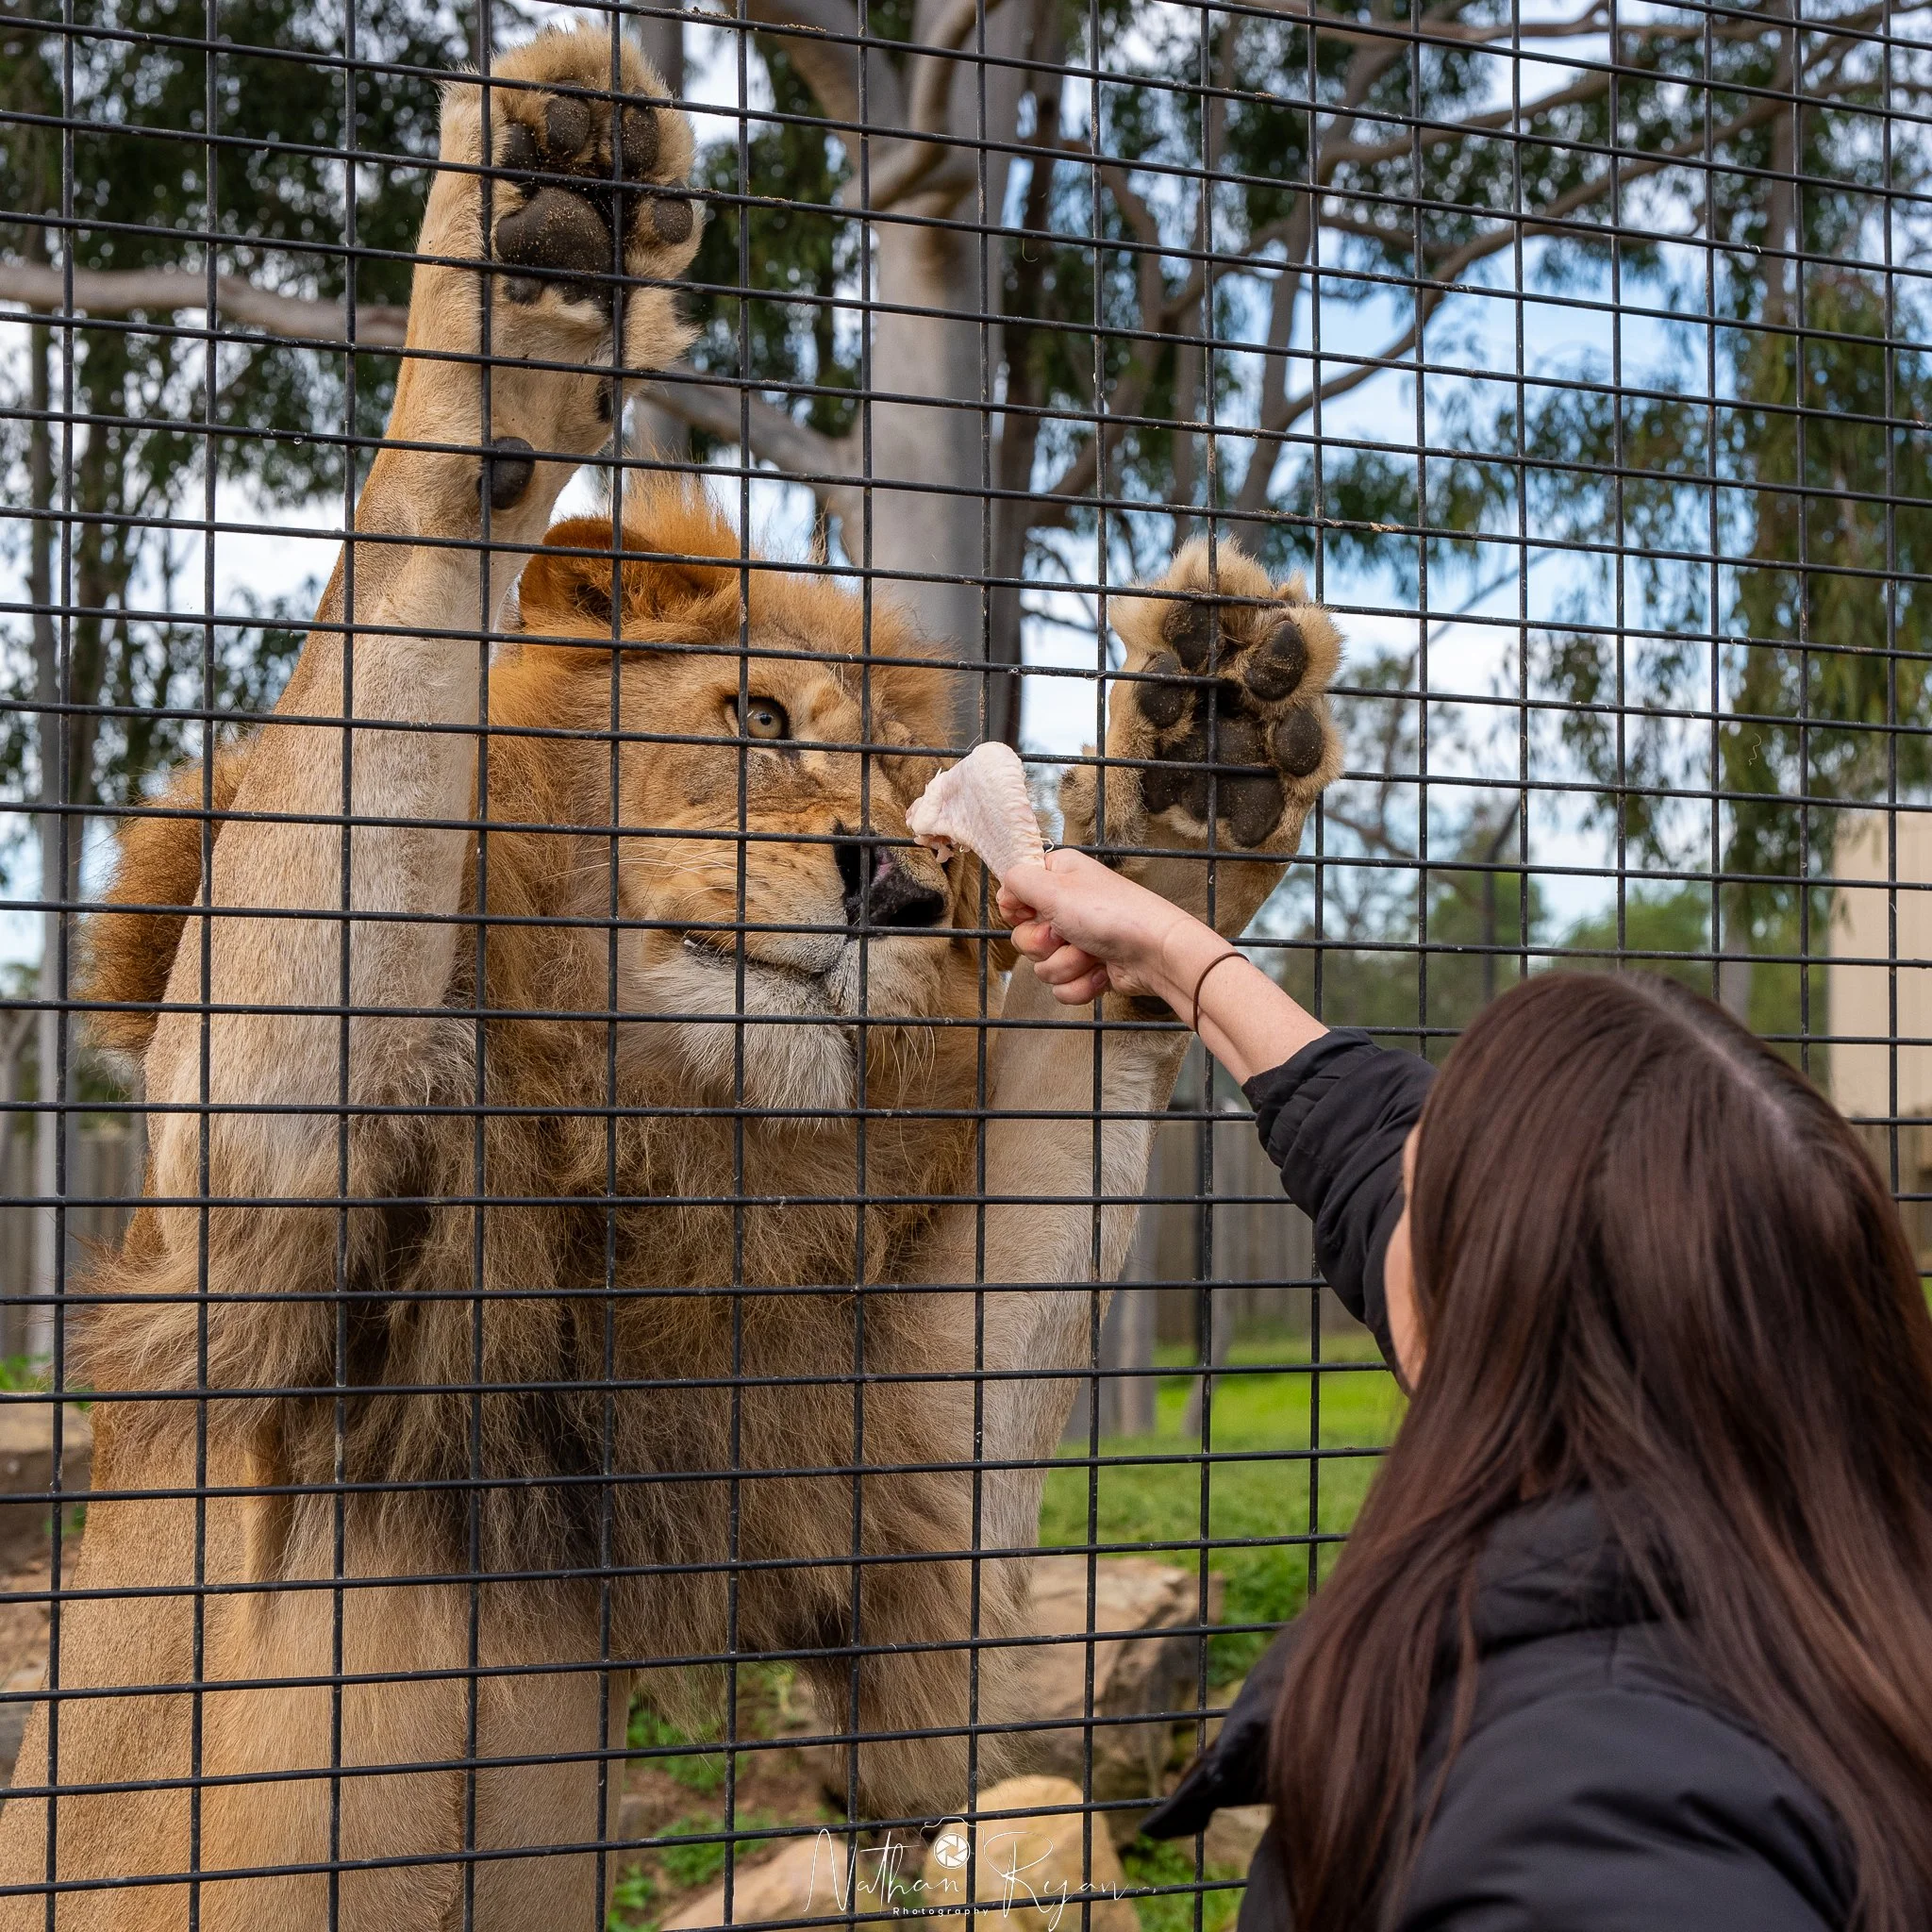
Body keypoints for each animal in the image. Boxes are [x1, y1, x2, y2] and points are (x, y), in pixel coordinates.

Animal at [0, 23, 1343, 1930]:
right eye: (760, 723)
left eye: (917, 815)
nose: (897, 888)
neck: (634, 1142)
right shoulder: (279, 1179)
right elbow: (403, 585)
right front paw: (535, 255)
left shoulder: (888, 1458)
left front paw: (1190, 788)